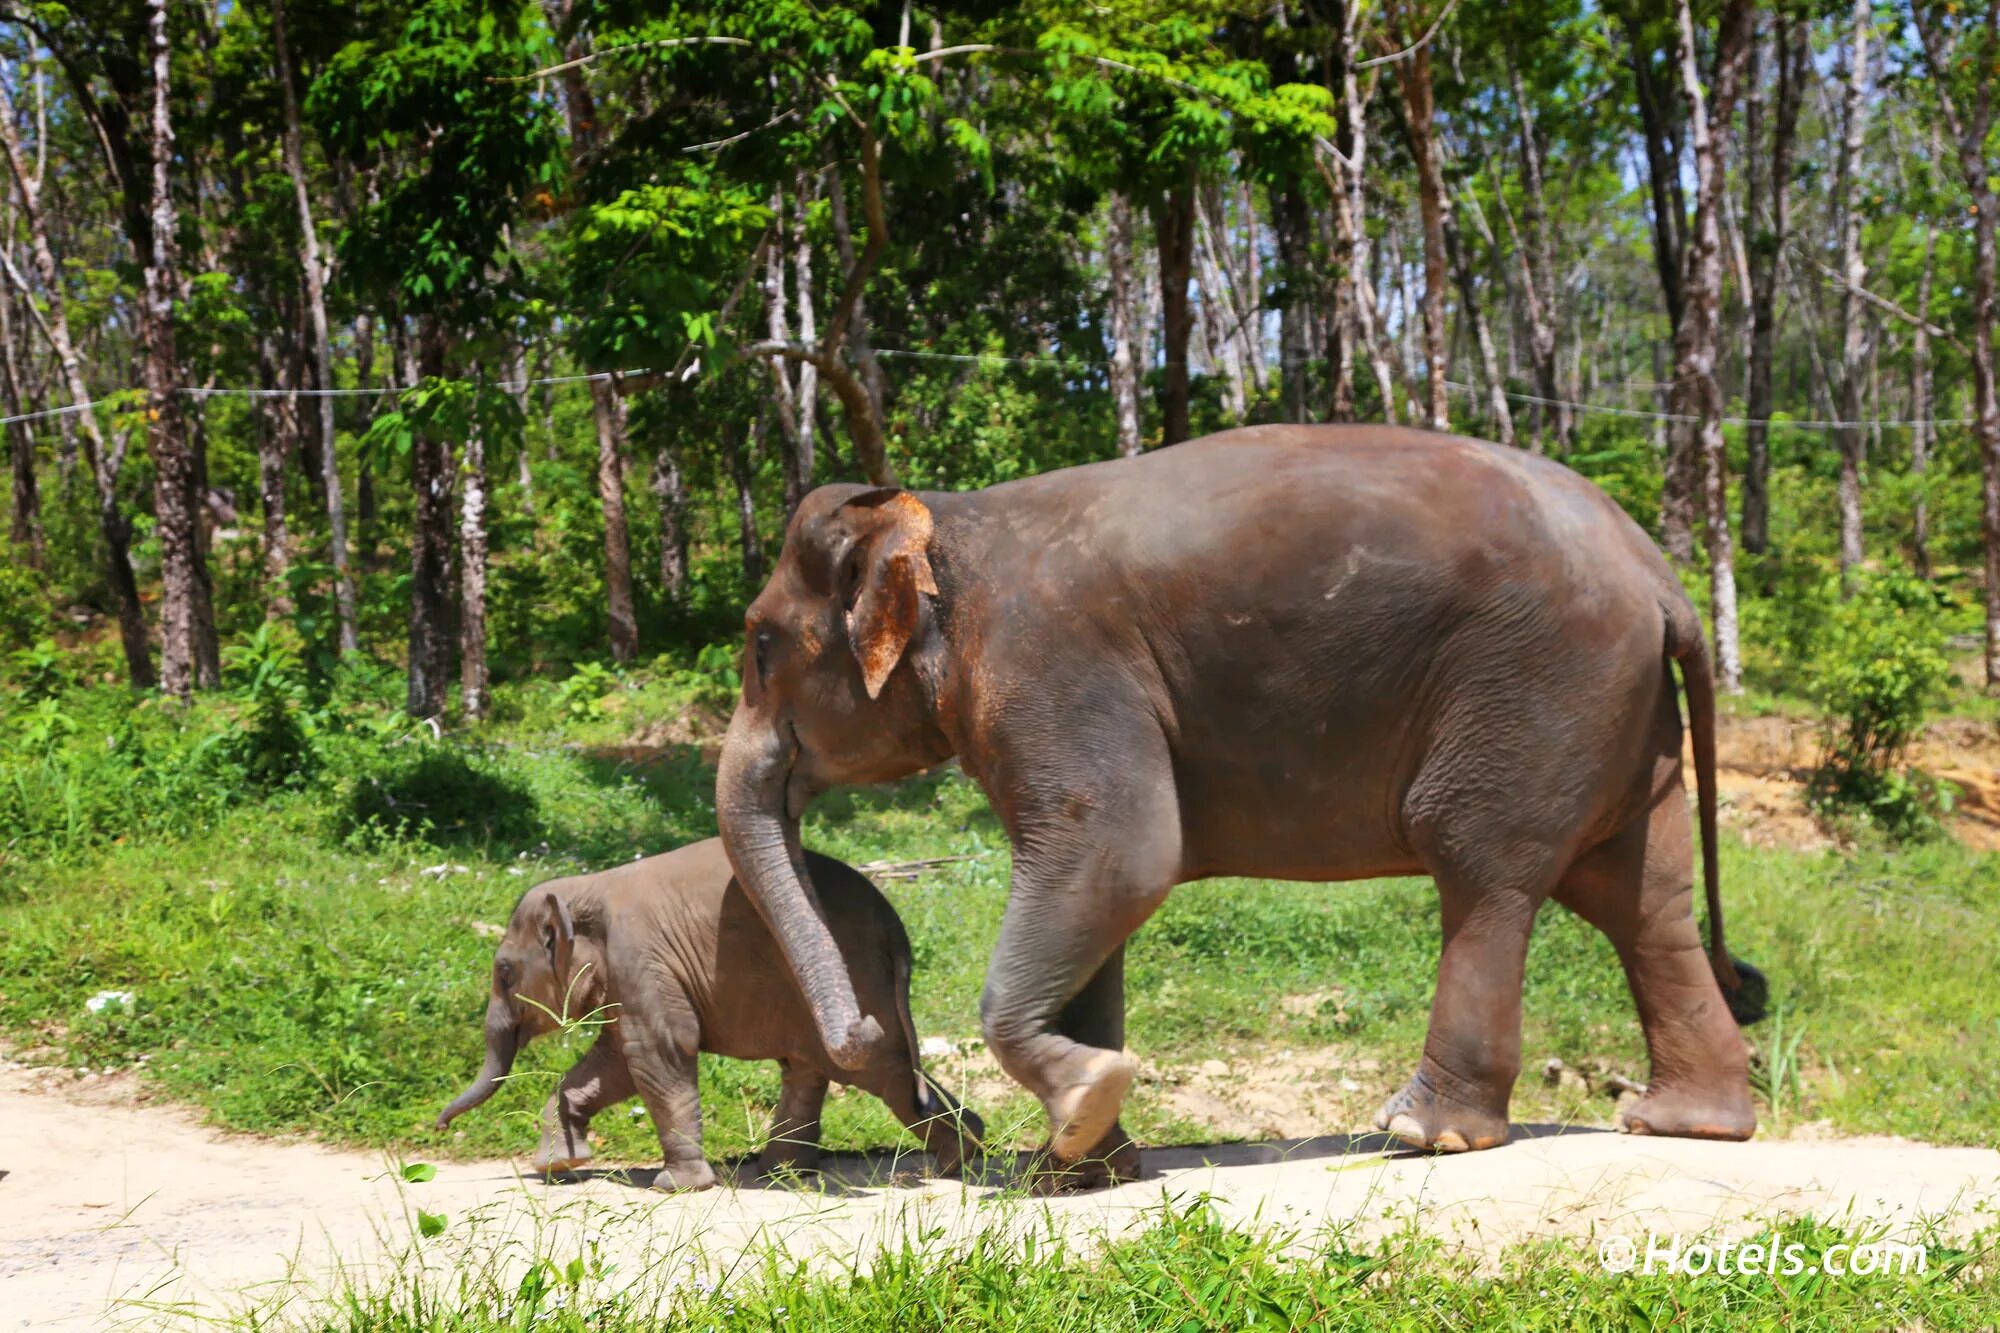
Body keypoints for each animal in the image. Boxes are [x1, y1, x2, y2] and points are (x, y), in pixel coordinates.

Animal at [434, 836, 980, 1184]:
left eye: (505, 974)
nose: (439, 1126)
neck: (584, 889)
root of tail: (894, 925)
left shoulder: (640, 957)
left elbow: (659, 1050)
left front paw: (676, 1186)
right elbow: (615, 1061)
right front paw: (558, 1166)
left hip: (856, 981)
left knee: (882, 1069)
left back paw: (954, 1163)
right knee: (813, 1066)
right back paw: (784, 1172)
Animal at [712, 420, 1760, 1176]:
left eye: (759, 645)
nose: (866, 1030)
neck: (947, 522)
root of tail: (1660, 576)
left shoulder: (1052, 668)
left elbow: (1123, 855)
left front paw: (1083, 1108)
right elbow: (1100, 889)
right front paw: (1080, 1168)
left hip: (1539, 693)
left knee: (1484, 869)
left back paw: (1424, 1133)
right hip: (1620, 716)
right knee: (1640, 898)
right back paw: (1685, 1122)